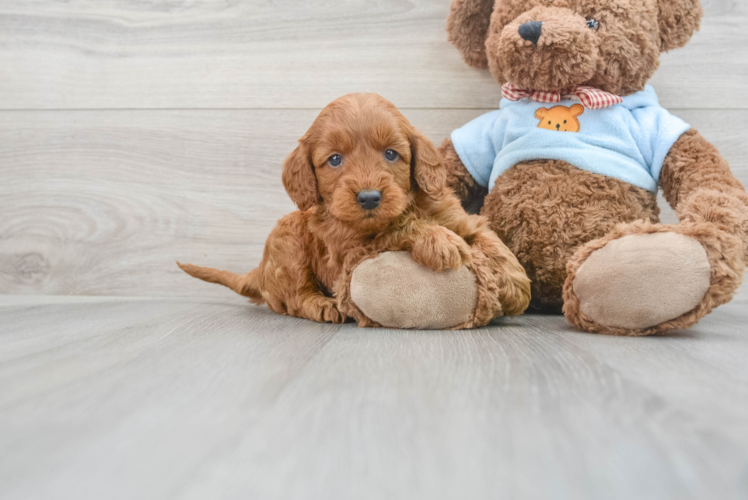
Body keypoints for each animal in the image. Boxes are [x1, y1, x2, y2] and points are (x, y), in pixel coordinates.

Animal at [180, 94, 532, 328]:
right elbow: (401, 227)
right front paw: (439, 241)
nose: (369, 198)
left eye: (391, 154)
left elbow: (487, 238)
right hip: (290, 235)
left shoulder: (454, 215)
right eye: (335, 159)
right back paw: (322, 304)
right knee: (293, 298)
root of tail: (260, 271)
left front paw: (516, 287)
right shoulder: (351, 249)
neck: (409, 204)